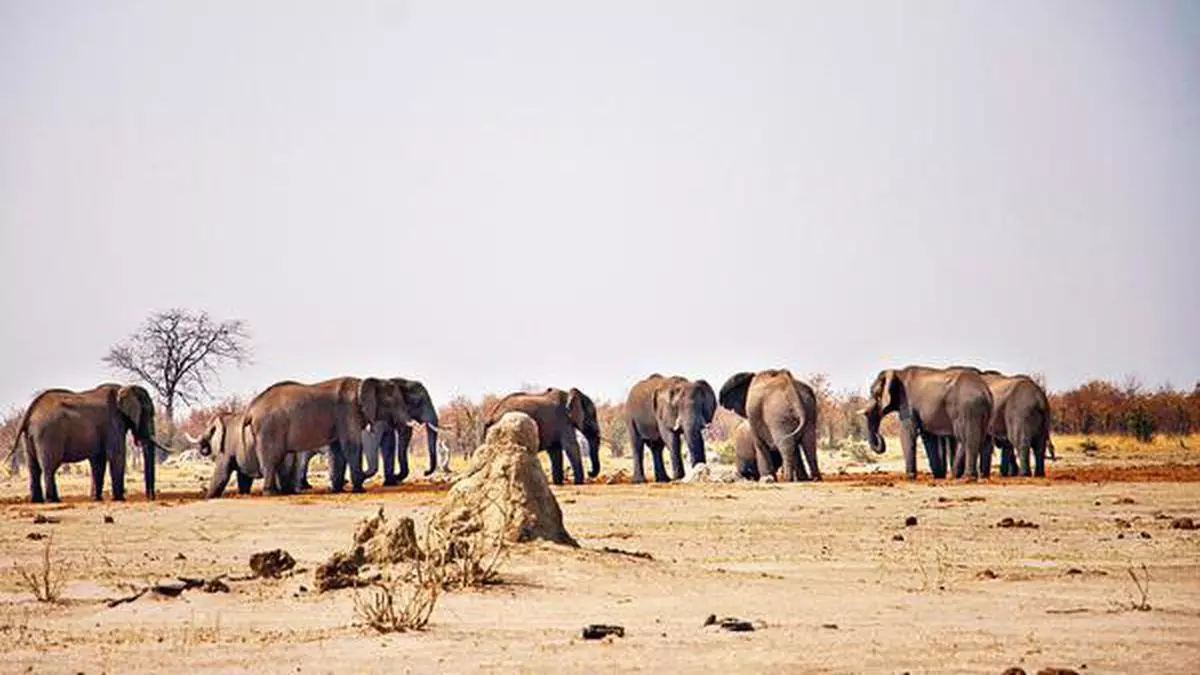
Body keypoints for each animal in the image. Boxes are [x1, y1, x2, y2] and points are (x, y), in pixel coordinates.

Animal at [4, 384, 159, 499]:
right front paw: (120, 499)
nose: (150, 497)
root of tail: (30, 411)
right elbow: (117, 455)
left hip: (30, 436)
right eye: (149, 413)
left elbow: (98, 460)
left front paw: (96, 498)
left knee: (33, 467)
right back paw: (53, 500)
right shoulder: (113, 423)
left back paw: (37, 501)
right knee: (49, 467)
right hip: (47, 433)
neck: (125, 387)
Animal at [238, 374, 408, 492]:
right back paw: (271, 493)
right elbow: (351, 445)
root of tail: (251, 408)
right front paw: (360, 490)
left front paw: (338, 490)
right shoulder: (348, 411)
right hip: (269, 427)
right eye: (394, 403)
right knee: (271, 458)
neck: (364, 383)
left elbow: (338, 449)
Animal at [864, 362, 993, 478]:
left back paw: (967, 478)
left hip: (968, 407)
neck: (897, 372)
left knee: (965, 437)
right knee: (971, 438)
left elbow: (907, 432)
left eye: (874, 393)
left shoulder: (907, 403)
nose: (880, 437)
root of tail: (985, 391)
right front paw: (938, 476)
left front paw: (909, 477)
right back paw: (957, 475)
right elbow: (928, 437)